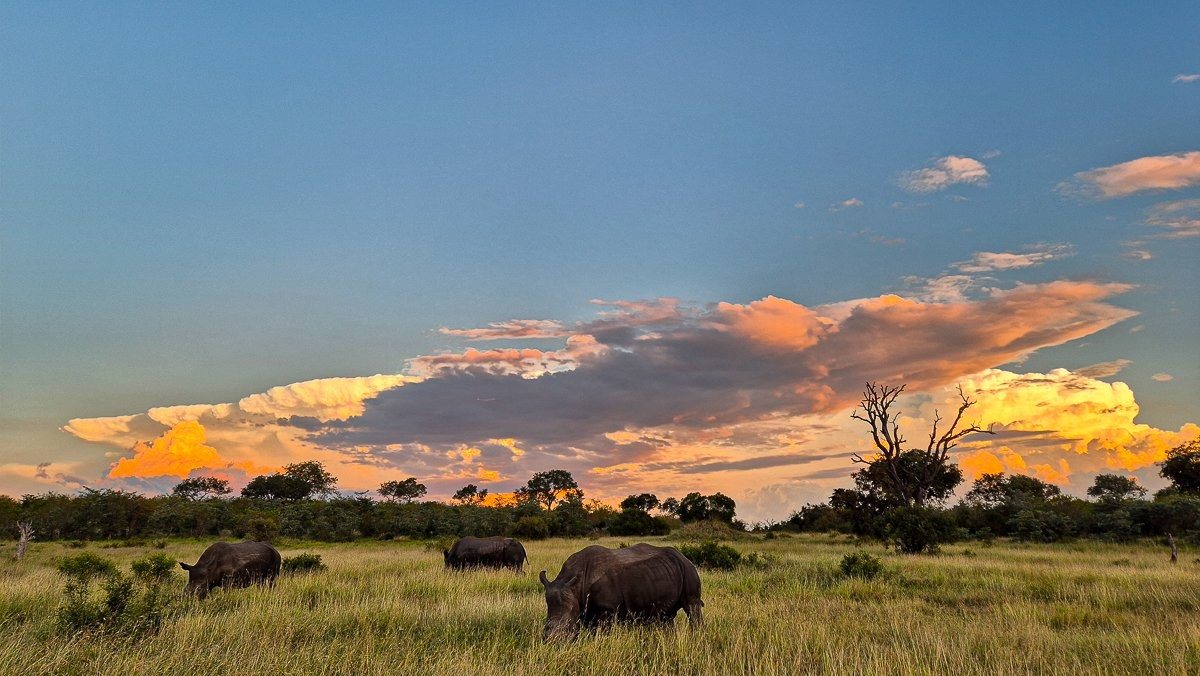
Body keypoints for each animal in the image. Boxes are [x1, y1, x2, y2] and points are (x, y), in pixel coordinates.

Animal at [540, 543, 703, 640]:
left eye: (567, 627)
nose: (550, 642)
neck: (576, 586)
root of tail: (684, 556)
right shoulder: (588, 611)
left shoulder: (606, 609)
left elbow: (602, 634)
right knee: (666, 616)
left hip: (688, 570)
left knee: (692, 606)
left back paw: (697, 638)